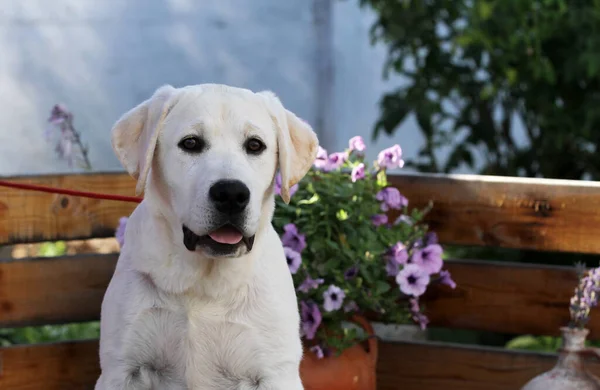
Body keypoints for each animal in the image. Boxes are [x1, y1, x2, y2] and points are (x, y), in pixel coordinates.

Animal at [94, 84, 318, 388]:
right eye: (190, 143)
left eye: (255, 145)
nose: (231, 194)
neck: (202, 283)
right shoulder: (121, 368)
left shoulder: (275, 373)